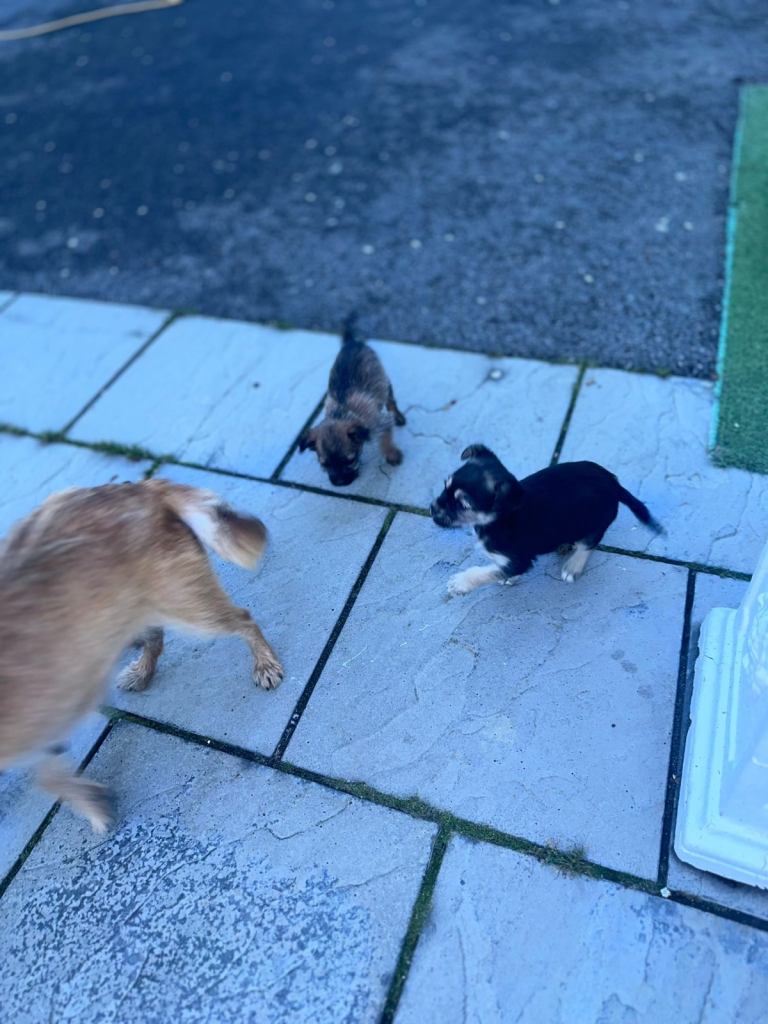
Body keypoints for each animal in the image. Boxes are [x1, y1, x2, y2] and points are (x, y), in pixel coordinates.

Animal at [0, 479, 283, 832]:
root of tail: (144, 488)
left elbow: (46, 777)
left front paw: (92, 805)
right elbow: (48, 774)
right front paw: (90, 800)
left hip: (185, 602)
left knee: (243, 619)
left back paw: (264, 664)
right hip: (128, 608)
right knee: (156, 636)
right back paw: (141, 671)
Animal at [298, 315, 406, 486]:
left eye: (350, 460)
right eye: (324, 465)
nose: (340, 483)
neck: (340, 414)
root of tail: (352, 342)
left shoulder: (382, 423)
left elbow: (385, 441)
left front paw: (392, 455)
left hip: (384, 382)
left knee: (391, 402)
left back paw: (399, 417)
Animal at [430, 445, 663, 596]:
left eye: (463, 505)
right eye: (445, 486)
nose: (432, 509)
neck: (498, 518)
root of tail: (613, 481)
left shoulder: (520, 558)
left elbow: (487, 571)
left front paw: (461, 582)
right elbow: (498, 569)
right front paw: (508, 577)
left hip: (597, 522)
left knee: (589, 543)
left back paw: (573, 565)